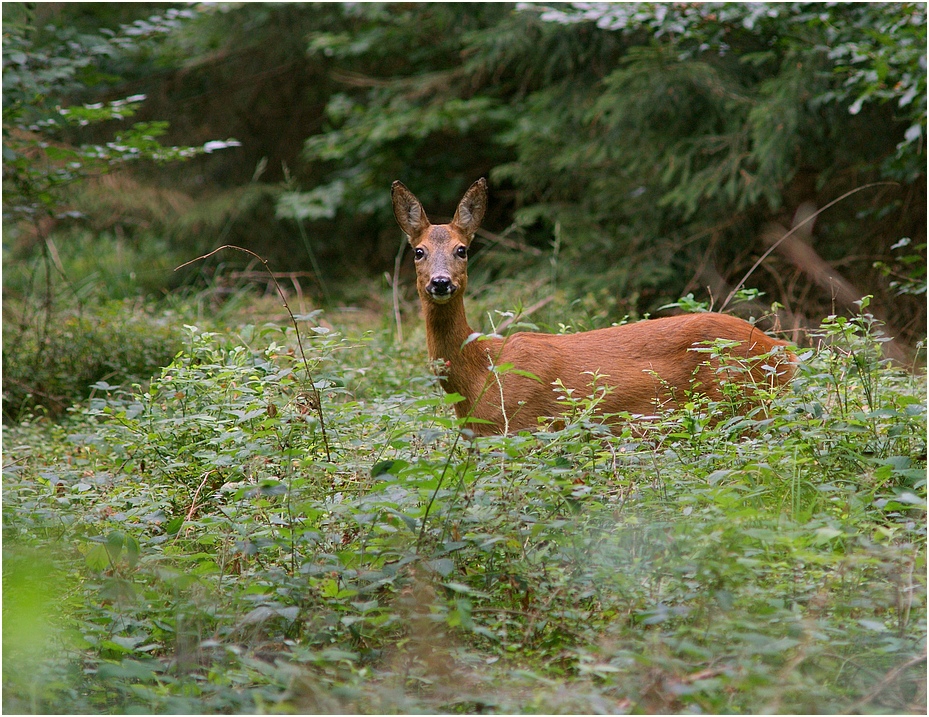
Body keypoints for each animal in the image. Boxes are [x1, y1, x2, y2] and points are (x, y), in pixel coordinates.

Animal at [388, 179, 792, 436]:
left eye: (462, 250)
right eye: (419, 251)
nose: (441, 282)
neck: (480, 373)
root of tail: (784, 350)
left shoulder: (522, 428)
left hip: (740, 405)